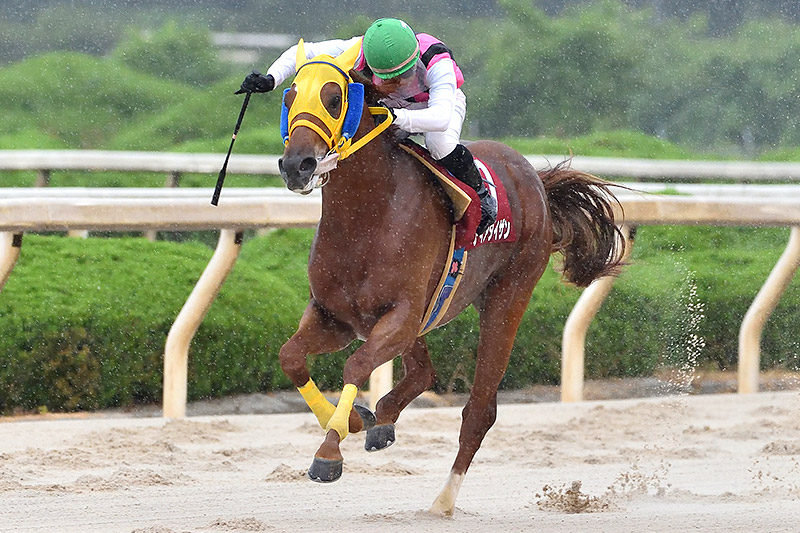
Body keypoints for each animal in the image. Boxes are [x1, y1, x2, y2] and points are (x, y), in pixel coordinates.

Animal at [274, 39, 626, 516]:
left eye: (334, 99)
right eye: (289, 98)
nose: (297, 165)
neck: (366, 216)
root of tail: (533, 176)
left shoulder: (400, 316)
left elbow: (356, 364)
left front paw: (329, 452)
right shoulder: (337, 317)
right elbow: (291, 356)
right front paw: (351, 421)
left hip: (509, 294)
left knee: (479, 410)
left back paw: (443, 500)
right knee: (423, 374)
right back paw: (380, 421)